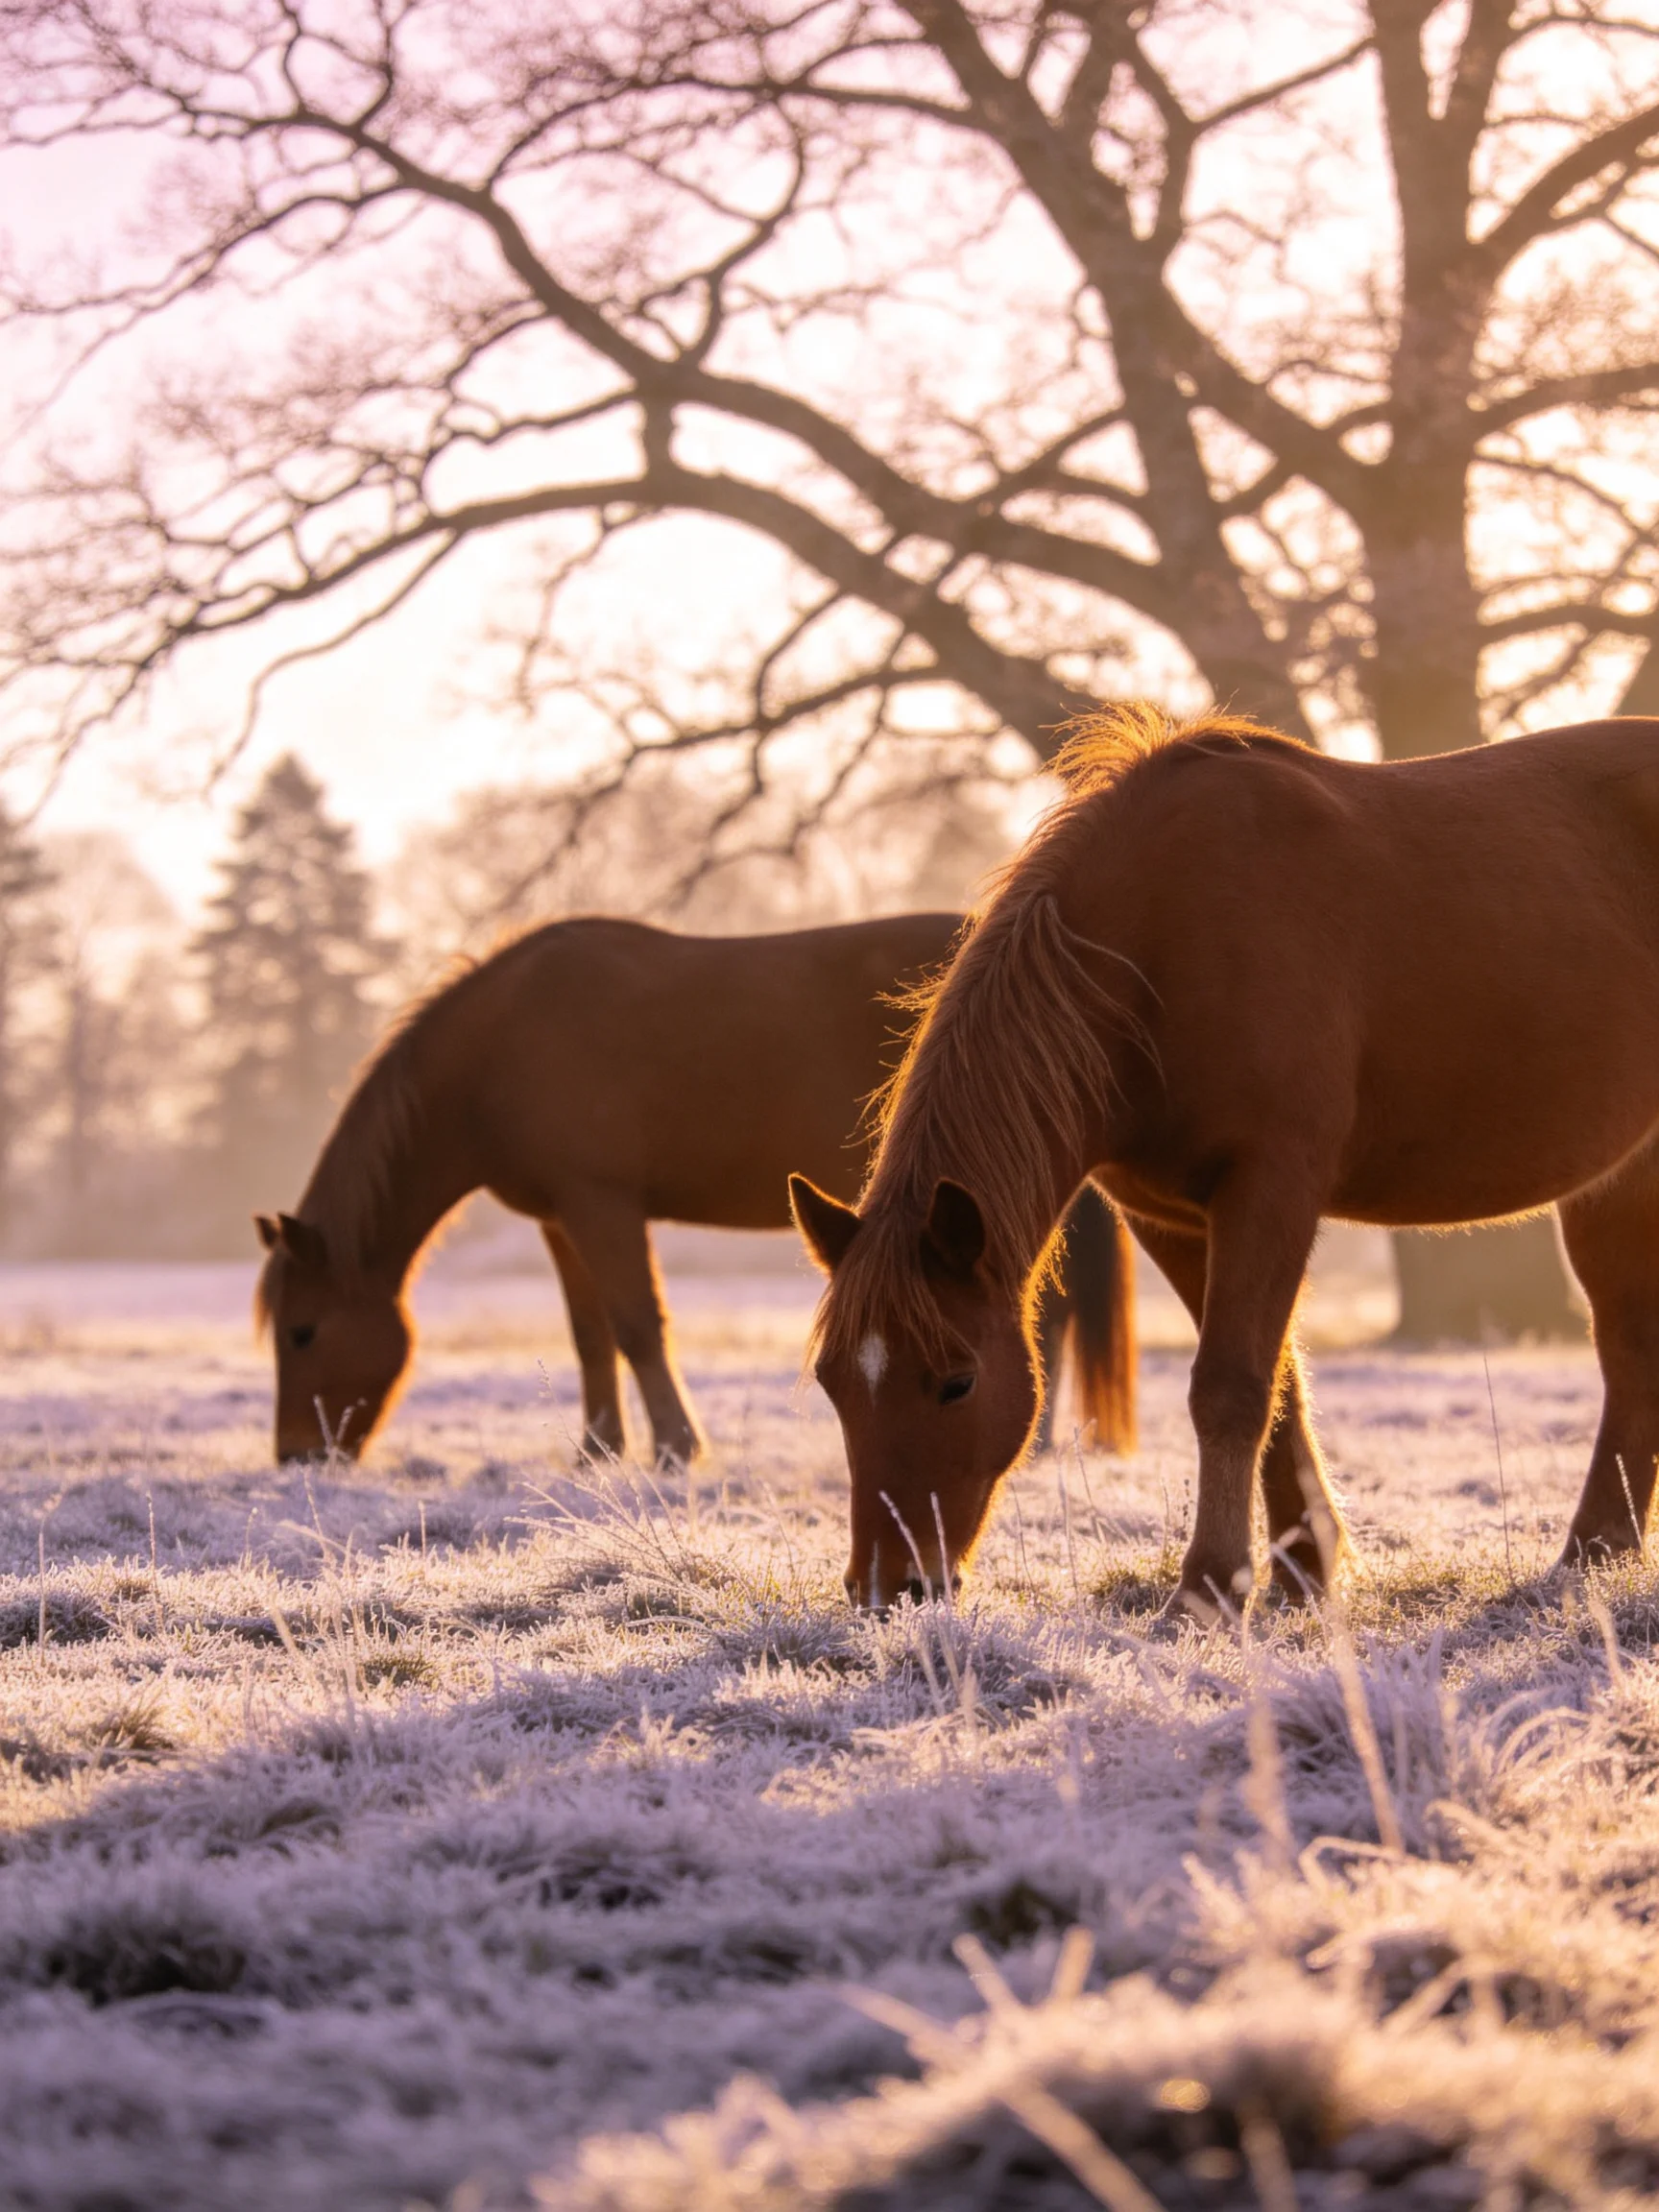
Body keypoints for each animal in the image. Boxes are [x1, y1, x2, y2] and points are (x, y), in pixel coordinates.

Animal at [255, 913, 1135, 1467]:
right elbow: (590, 1334)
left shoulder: (601, 1205)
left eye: (301, 1331)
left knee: (1049, 1311)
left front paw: (677, 1448)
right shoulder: (560, 1220)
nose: (296, 1456)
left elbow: (639, 1324)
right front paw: (599, 1450)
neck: (497, 1047)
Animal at [793, 706, 1659, 1619]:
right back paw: (1597, 1550)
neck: (1163, 944)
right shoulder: (1172, 1215)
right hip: (1619, 1184)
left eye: (955, 1380)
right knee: (1632, 1345)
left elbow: (1231, 1384)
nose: (888, 1588)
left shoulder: (1270, 1189)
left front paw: (1207, 1587)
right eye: (833, 1381)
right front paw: (1302, 1570)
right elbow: (1276, 1388)